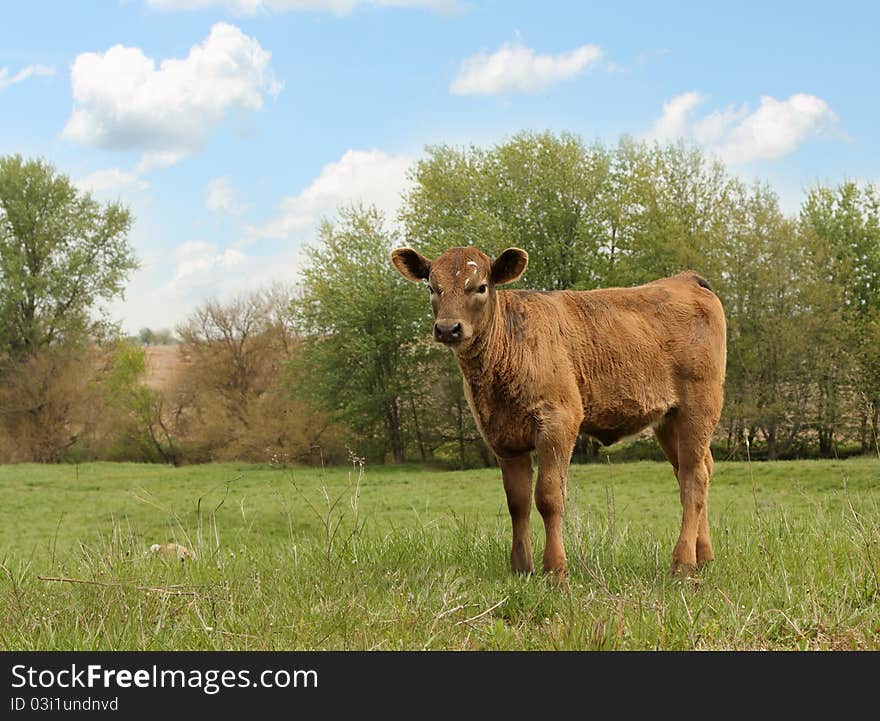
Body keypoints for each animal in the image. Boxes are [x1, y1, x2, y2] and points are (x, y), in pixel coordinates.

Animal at [394, 245, 728, 584]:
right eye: (432, 288)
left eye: (481, 287)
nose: (448, 328)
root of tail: (684, 279)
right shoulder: (502, 437)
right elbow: (517, 501)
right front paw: (521, 568)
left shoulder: (558, 422)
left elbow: (548, 496)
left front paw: (555, 570)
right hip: (668, 419)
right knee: (694, 471)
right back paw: (703, 556)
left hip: (698, 408)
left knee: (693, 478)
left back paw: (682, 563)